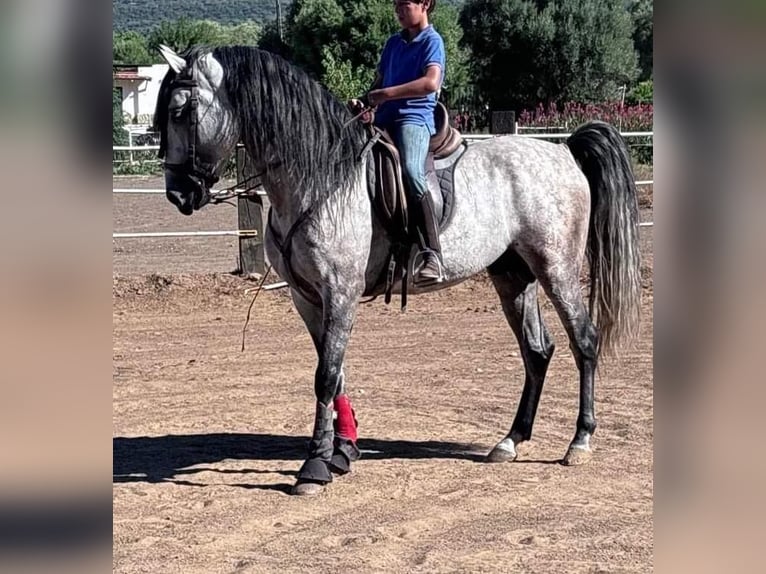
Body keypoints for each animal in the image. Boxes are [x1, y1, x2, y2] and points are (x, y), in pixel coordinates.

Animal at [154, 45, 640, 498]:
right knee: (537, 351)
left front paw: (314, 467)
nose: (178, 194)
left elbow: (325, 376)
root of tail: (563, 151)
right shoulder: (307, 297)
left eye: (180, 111)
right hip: (512, 275)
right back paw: (511, 440)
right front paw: (343, 452)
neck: (320, 177)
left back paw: (580, 441)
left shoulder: (341, 292)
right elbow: (334, 371)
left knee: (584, 341)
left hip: (557, 268)